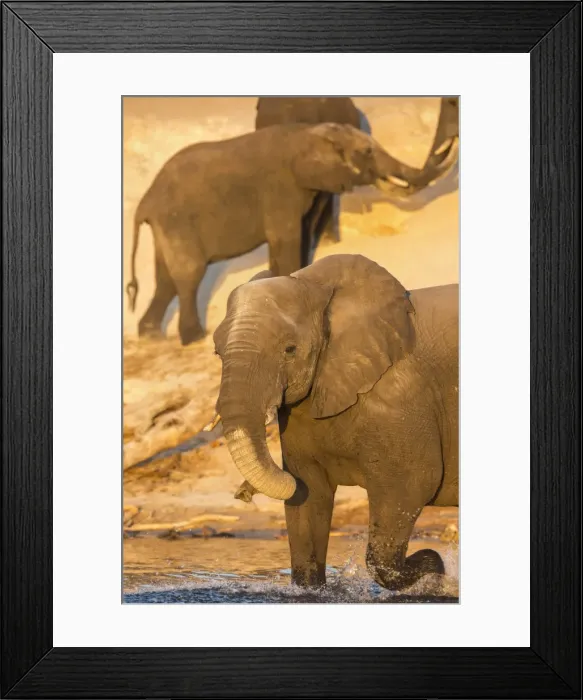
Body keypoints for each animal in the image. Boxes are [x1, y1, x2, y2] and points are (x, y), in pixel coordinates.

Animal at [126, 122, 441, 346]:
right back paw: (194, 338)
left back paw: (151, 336)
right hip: (178, 221)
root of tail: (145, 202)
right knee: (188, 274)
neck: (306, 132)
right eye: (367, 152)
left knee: (165, 279)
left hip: (168, 226)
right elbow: (287, 239)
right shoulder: (280, 188)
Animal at [212, 254, 459, 590]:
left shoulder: (400, 396)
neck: (315, 286)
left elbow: (413, 483)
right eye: (217, 352)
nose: (243, 493)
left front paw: (433, 568)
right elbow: (309, 493)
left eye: (289, 350)